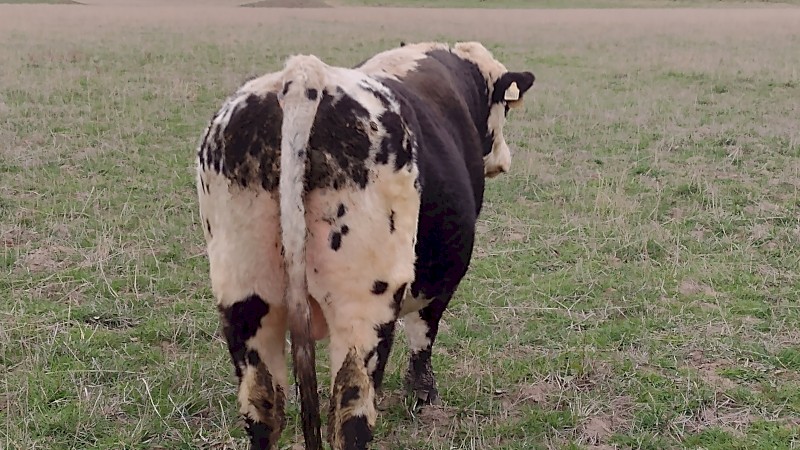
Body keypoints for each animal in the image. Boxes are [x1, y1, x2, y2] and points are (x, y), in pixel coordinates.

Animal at [195, 41, 535, 450]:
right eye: (504, 107)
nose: (503, 160)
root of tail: (305, 77)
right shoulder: (441, 278)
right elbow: (424, 332)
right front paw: (422, 393)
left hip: (246, 299)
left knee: (262, 413)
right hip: (362, 305)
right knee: (351, 417)